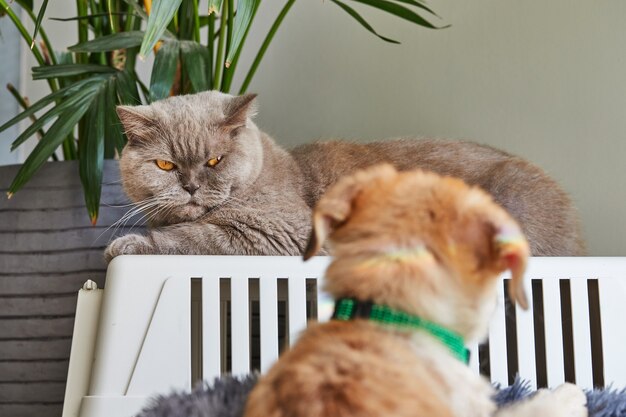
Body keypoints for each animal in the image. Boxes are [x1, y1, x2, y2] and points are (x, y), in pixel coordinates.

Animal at [105, 90, 584, 260]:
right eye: (166, 165)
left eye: (214, 162)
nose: (190, 186)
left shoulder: (279, 231)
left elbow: (191, 236)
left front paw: (125, 245)